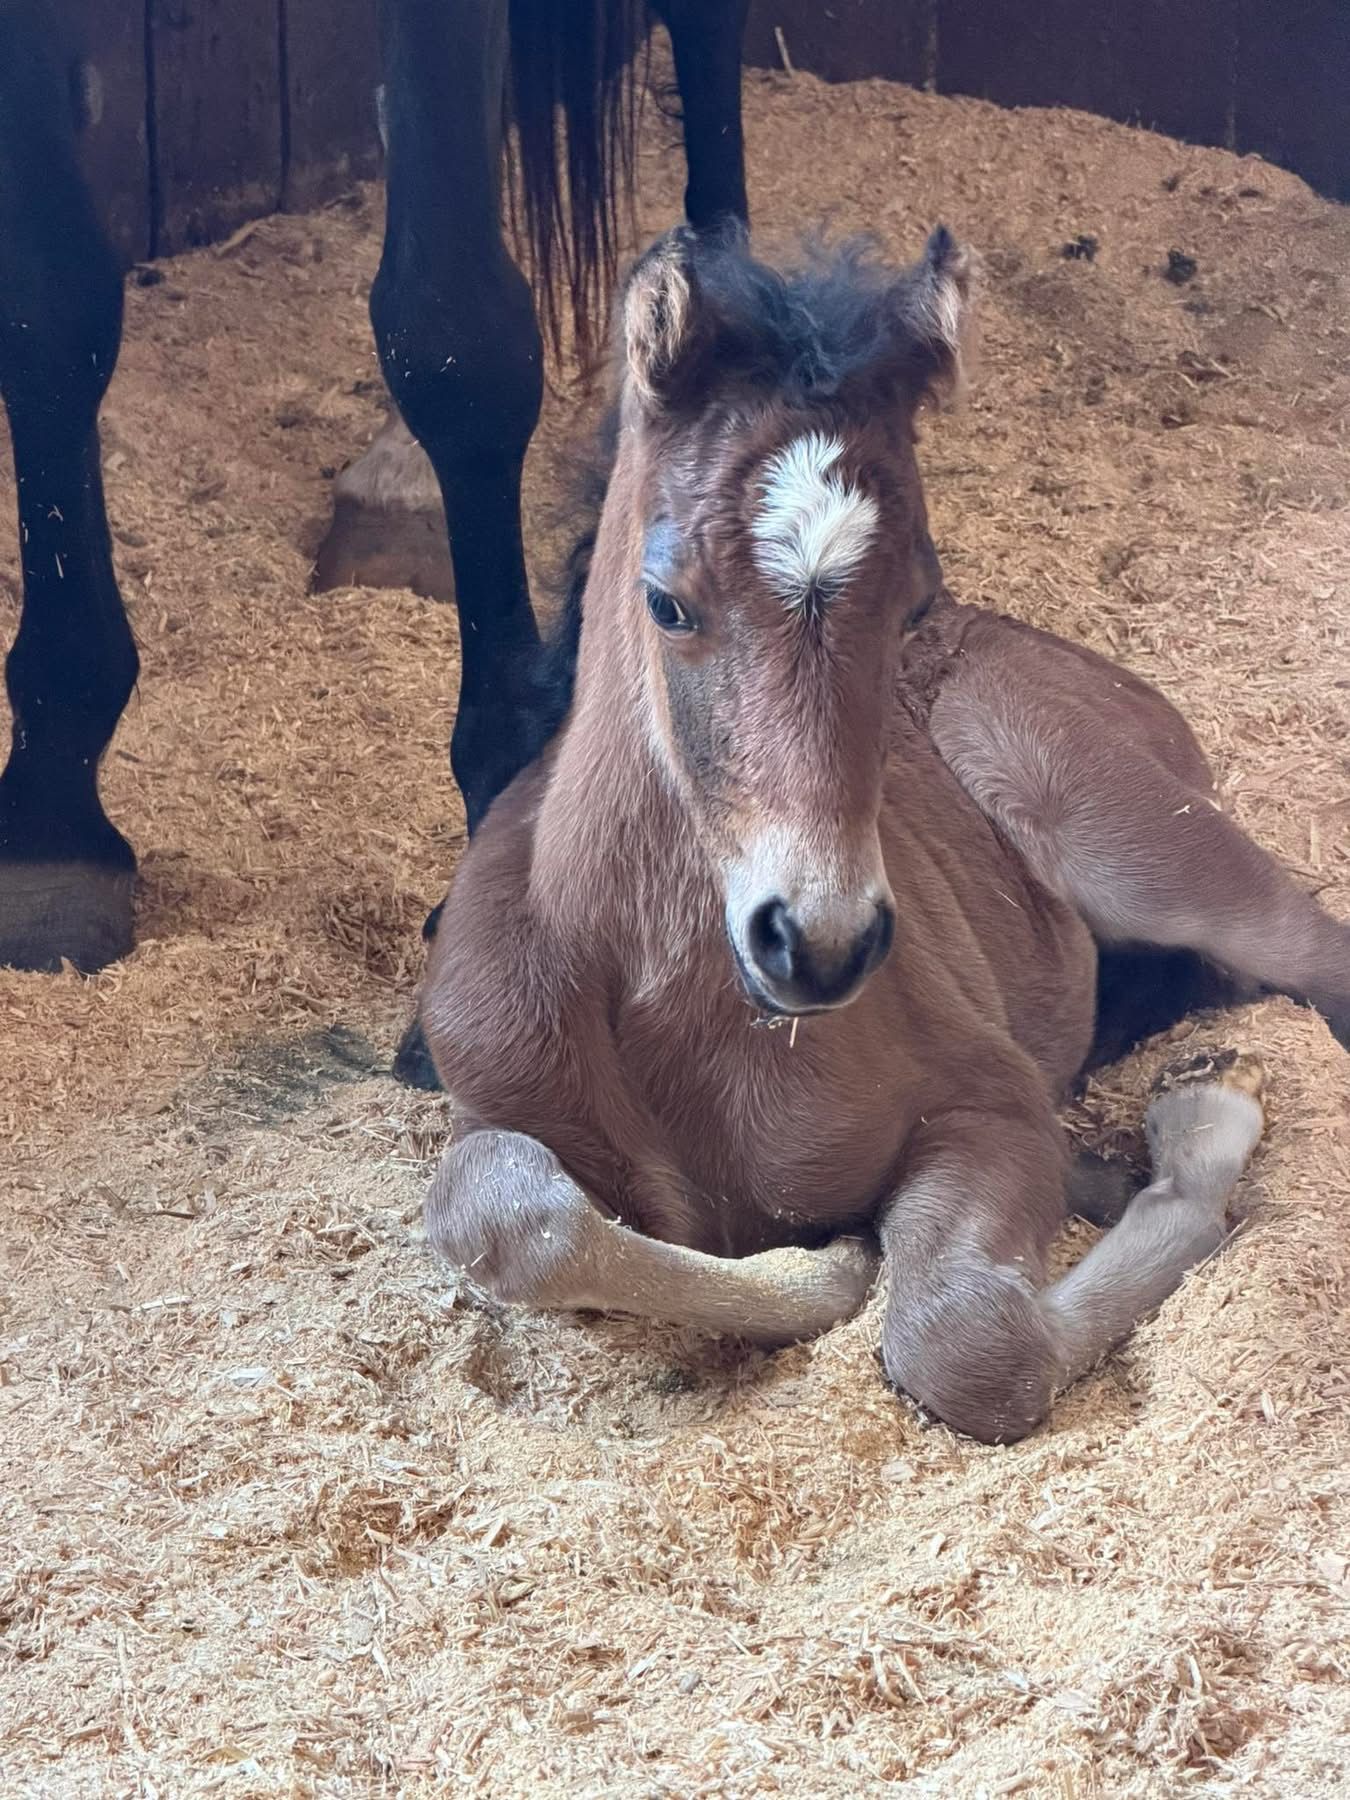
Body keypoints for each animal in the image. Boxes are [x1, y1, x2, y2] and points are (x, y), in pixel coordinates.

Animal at [415, 223, 1350, 1445]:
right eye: (666, 601)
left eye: (909, 603)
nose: (819, 944)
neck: (670, 1008)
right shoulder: (490, 1097)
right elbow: (495, 1211)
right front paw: (823, 1267)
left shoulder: (984, 1096)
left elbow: (965, 1343)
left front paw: (1196, 1138)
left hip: (1149, 851)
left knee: (1315, 952)